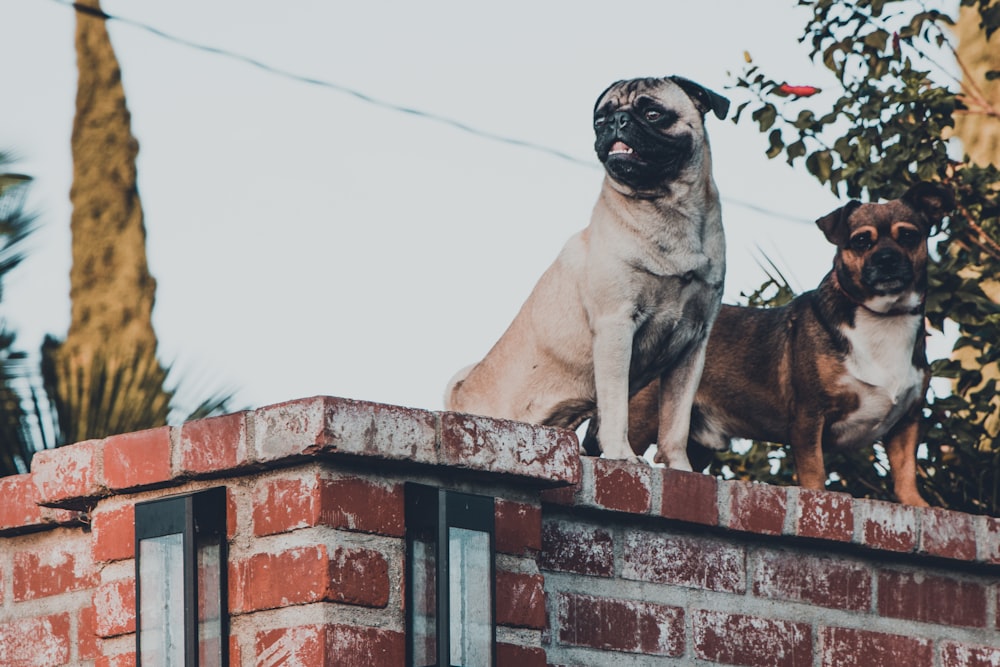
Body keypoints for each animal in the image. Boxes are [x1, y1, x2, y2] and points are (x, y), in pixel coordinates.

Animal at [608, 183, 952, 506]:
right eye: (861, 241)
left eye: (908, 236)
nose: (886, 259)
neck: (882, 317)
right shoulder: (809, 417)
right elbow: (815, 473)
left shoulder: (906, 422)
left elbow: (905, 472)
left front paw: (917, 504)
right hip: (641, 419)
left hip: (698, 442)